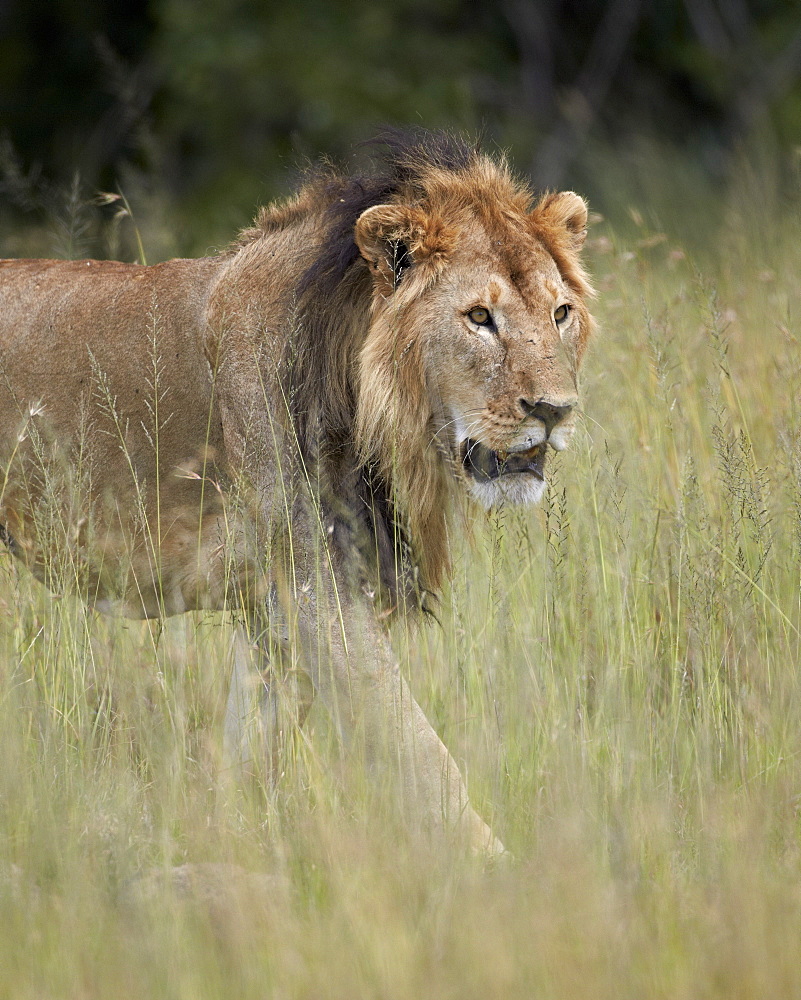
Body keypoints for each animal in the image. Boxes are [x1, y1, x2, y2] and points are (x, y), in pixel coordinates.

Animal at [0, 131, 592, 852]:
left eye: (559, 313)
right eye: (479, 317)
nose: (555, 410)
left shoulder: (278, 603)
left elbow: (249, 747)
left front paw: (227, 841)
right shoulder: (313, 584)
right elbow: (415, 748)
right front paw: (497, 865)